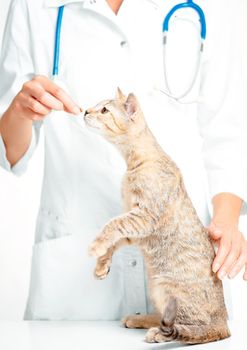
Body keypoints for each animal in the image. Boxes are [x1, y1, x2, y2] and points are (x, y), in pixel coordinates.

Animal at [84, 88, 231, 344]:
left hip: (168, 288)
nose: (85, 111)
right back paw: (141, 319)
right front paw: (102, 263)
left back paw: (159, 333)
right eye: (96, 105)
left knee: (193, 329)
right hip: (156, 286)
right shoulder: (136, 227)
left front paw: (96, 246)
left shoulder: (145, 217)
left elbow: (112, 225)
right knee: (166, 316)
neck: (134, 163)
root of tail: (223, 322)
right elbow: (115, 238)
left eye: (104, 110)